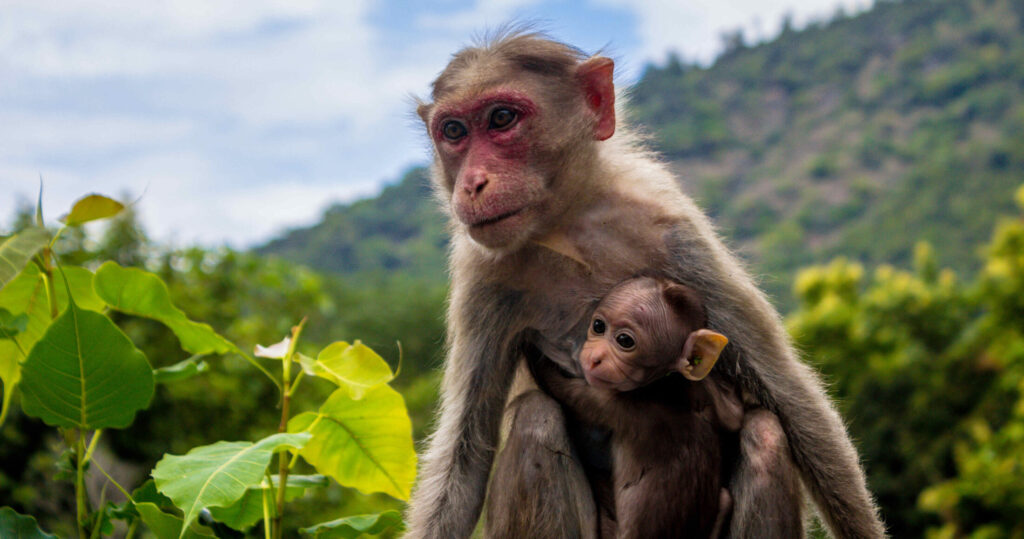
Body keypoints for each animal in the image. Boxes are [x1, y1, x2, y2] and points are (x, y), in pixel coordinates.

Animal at [532, 278, 741, 539]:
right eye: (598, 326)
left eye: (625, 341)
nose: (594, 358)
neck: (661, 384)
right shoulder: (699, 391)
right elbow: (734, 417)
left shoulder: (617, 403)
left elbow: (562, 389)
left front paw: (534, 348)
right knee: (725, 500)